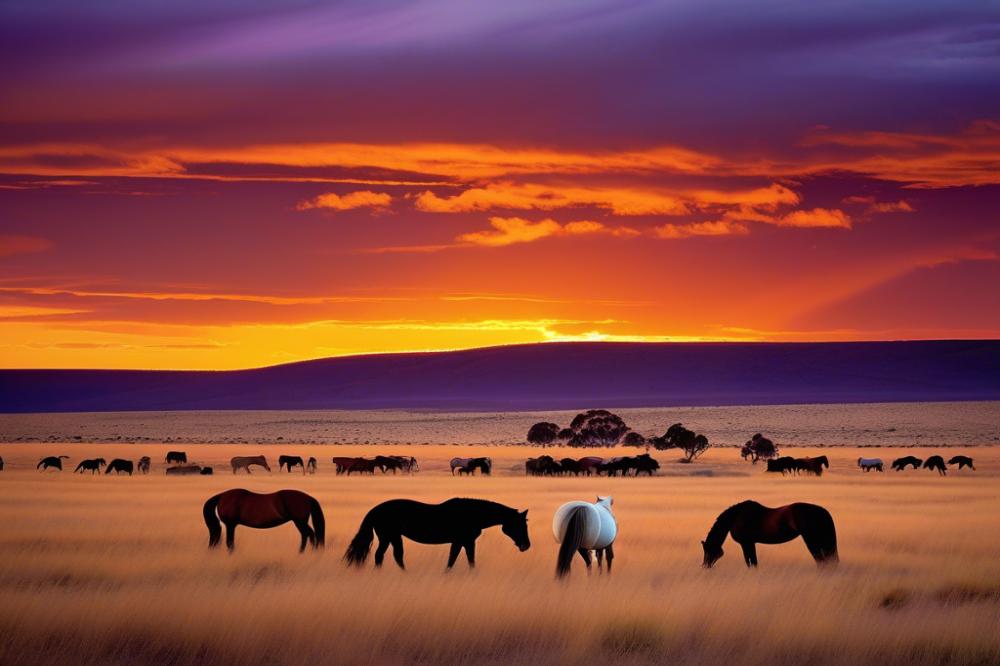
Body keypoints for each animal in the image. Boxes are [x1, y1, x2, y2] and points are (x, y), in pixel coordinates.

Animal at [343, 498, 529, 570]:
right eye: (519, 525)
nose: (526, 545)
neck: (472, 514)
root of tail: (375, 510)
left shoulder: (463, 542)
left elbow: (460, 559)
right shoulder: (464, 541)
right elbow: (459, 560)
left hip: (392, 537)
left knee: (392, 556)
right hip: (389, 536)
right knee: (383, 555)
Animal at [701, 500, 838, 568]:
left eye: (708, 550)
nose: (704, 566)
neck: (735, 517)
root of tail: (820, 511)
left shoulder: (746, 543)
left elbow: (750, 562)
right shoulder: (751, 543)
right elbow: (753, 562)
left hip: (811, 540)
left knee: (821, 561)